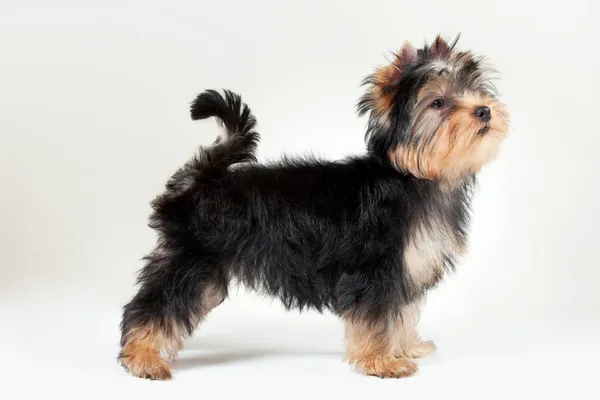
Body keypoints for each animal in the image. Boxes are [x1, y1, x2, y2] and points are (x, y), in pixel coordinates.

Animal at [118, 36, 510, 380]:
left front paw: (404, 349)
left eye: (476, 90)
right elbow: (378, 316)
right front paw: (382, 362)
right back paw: (142, 357)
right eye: (438, 103)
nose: (484, 110)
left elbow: (399, 313)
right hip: (193, 260)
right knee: (154, 305)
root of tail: (201, 179)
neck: (414, 176)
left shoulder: (403, 270)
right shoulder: (375, 269)